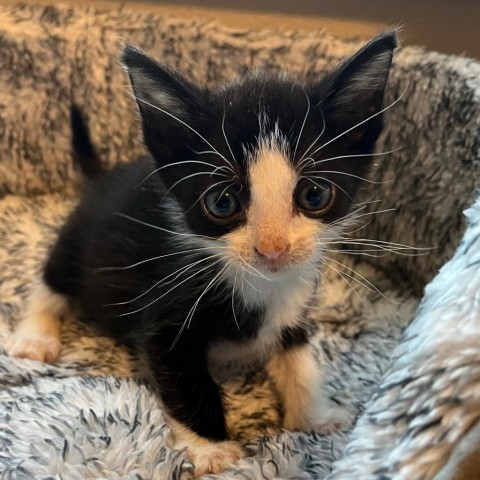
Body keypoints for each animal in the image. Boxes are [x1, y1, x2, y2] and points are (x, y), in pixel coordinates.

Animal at [7, 32, 398, 476]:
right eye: (222, 202)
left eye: (314, 194)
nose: (273, 248)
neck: (258, 283)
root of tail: (102, 179)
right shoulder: (164, 312)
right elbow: (185, 382)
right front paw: (213, 449)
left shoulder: (294, 301)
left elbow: (300, 359)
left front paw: (316, 415)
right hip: (78, 241)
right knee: (51, 281)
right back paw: (35, 336)